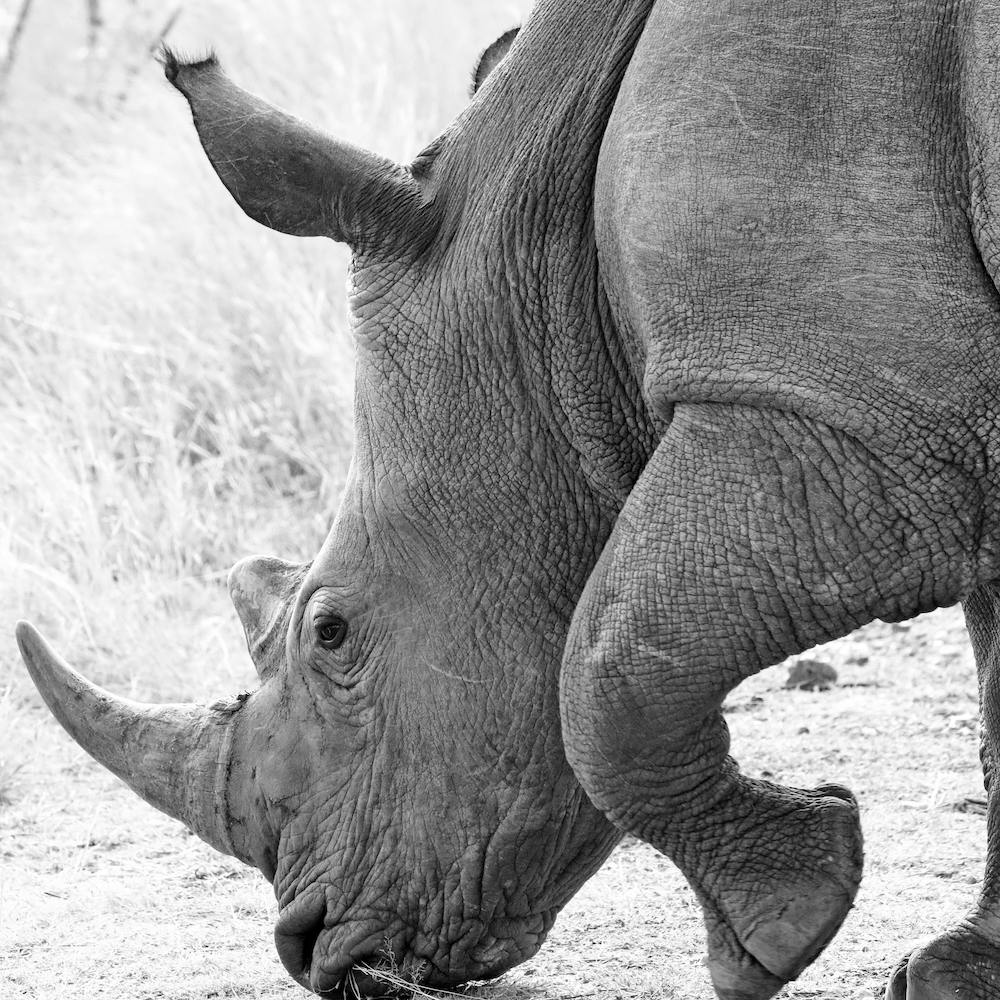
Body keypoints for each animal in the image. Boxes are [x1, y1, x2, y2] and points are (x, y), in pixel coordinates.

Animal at [16, 1, 1000, 998]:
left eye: (331, 632)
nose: (314, 951)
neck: (551, 273)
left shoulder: (850, 414)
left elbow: (607, 671)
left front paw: (777, 933)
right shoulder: (933, 420)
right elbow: (995, 682)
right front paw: (954, 972)